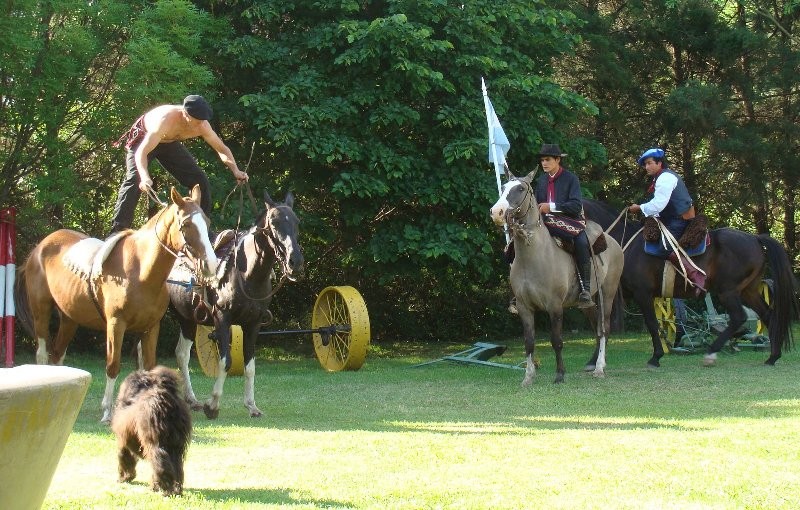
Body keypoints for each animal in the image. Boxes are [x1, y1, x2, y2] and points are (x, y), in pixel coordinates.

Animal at [18, 185, 219, 420]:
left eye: (207, 222)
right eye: (186, 225)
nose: (211, 264)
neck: (141, 271)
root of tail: (40, 247)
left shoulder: (151, 327)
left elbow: (150, 368)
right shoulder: (116, 324)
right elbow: (113, 365)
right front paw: (107, 410)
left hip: (69, 319)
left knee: (58, 354)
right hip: (40, 312)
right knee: (42, 354)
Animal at [111, 364, 192, 496]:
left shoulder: (123, 440)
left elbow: (124, 456)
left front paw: (124, 477)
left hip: (155, 440)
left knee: (160, 461)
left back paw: (163, 488)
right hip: (176, 443)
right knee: (176, 464)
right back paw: (175, 489)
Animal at [166, 190, 304, 418]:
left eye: (297, 222)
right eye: (274, 223)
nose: (295, 261)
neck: (246, 275)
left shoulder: (253, 324)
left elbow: (250, 365)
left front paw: (251, 405)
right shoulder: (223, 319)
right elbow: (225, 362)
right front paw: (212, 405)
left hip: (187, 319)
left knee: (181, 354)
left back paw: (191, 400)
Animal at [488, 169, 624, 384]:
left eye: (521, 189)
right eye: (503, 187)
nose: (497, 212)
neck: (534, 257)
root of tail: (612, 242)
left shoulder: (555, 306)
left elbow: (557, 340)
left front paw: (560, 374)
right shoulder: (524, 307)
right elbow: (529, 342)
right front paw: (528, 377)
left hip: (607, 294)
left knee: (604, 328)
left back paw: (599, 368)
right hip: (587, 303)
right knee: (596, 327)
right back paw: (593, 363)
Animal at [580, 197, 800, 368]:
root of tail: (755, 238)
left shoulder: (642, 293)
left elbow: (650, 323)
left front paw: (656, 357)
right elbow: (602, 325)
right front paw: (594, 361)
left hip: (727, 291)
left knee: (739, 317)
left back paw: (711, 353)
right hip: (749, 291)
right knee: (768, 315)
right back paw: (772, 357)